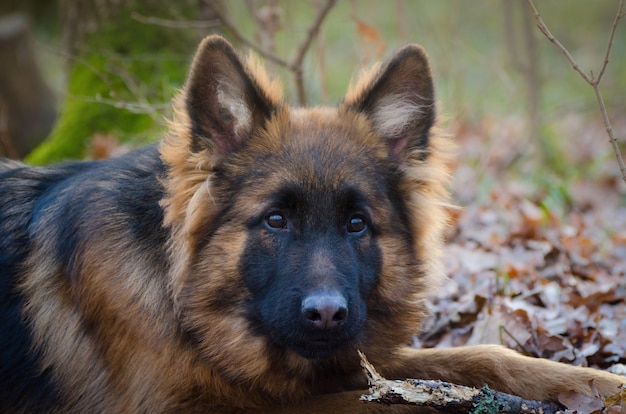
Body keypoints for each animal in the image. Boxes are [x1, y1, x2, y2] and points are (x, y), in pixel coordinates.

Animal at [0, 34, 620, 410]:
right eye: (275, 220)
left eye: (357, 224)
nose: (326, 315)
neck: (188, 306)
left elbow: (480, 356)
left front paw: (603, 385)